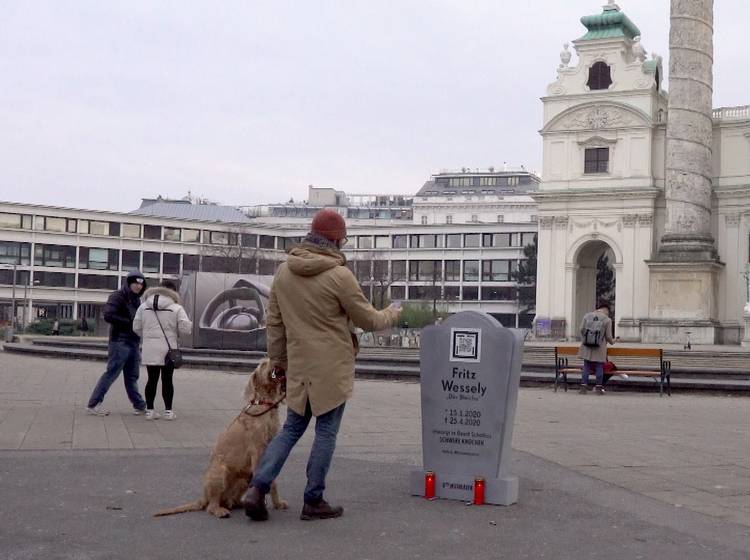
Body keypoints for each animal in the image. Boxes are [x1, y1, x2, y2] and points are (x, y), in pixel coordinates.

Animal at [155, 358, 288, 520]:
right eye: (263, 364)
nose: (276, 361)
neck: (265, 404)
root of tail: (203, 497)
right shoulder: (258, 451)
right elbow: (264, 477)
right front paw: (260, 505)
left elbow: (272, 480)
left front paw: (277, 503)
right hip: (220, 472)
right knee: (211, 506)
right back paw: (220, 510)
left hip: (244, 478)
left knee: (231, 500)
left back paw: (240, 503)